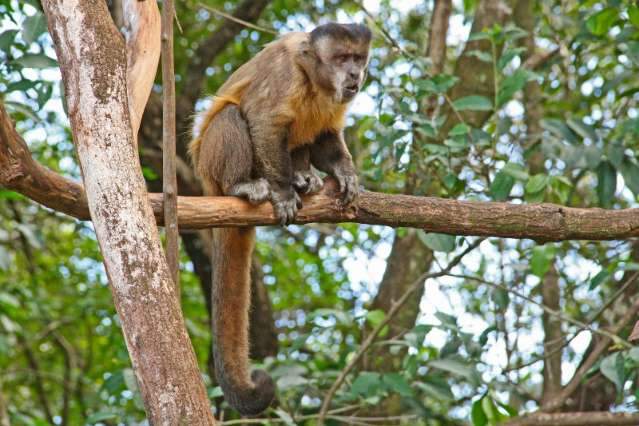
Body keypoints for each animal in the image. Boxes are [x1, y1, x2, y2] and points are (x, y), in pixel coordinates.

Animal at [188, 22, 372, 416]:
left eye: (358, 59)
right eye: (341, 58)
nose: (355, 75)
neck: (316, 79)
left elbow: (327, 136)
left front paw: (345, 174)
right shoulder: (284, 73)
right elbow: (265, 124)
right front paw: (284, 192)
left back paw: (305, 178)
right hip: (211, 161)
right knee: (233, 117)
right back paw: (246, 185)